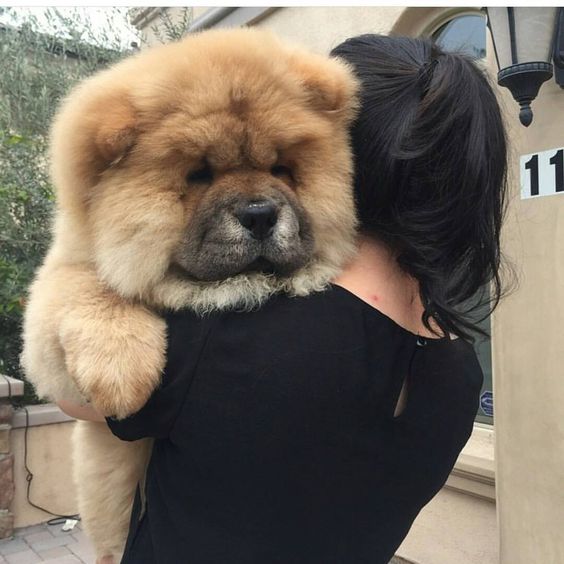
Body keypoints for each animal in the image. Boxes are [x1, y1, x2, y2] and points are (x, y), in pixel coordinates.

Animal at [22, 28, 360, 560]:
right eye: (199, 174)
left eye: (281, 169)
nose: (261, 214)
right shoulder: (64, 275)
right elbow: (91, 290)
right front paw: (121, 375)